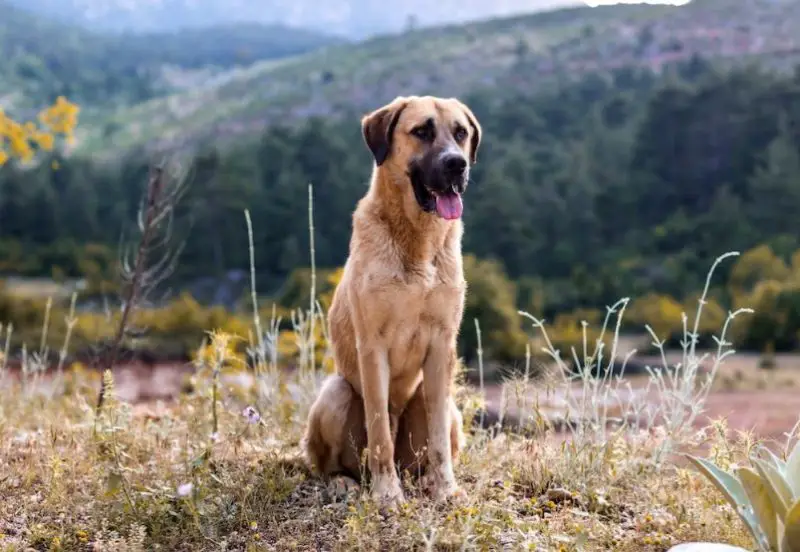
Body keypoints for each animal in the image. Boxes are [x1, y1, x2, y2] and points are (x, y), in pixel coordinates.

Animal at [304, 95, 482, 504]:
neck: (418, 239)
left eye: (461, 133)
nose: (457, 164)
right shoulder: (373, 346)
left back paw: (424, 480)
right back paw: (344, 481)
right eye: (422, 131)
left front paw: (445, 488)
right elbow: (380, 432)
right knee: (334, 463)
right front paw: (387, 494)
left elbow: (437, 439)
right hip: (336, 392)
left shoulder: (442, 345)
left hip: (448, 409)